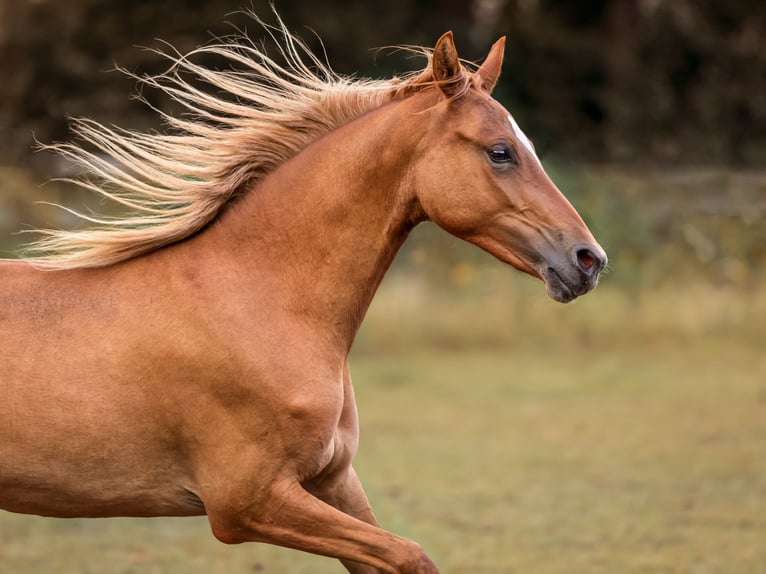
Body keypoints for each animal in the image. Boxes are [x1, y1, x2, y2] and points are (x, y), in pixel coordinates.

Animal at [1, 15, 608, 572]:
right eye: (500, 151)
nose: (589, 260)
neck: (258, 300)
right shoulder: (246, 504)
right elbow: (411, 556)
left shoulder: (333, 480)